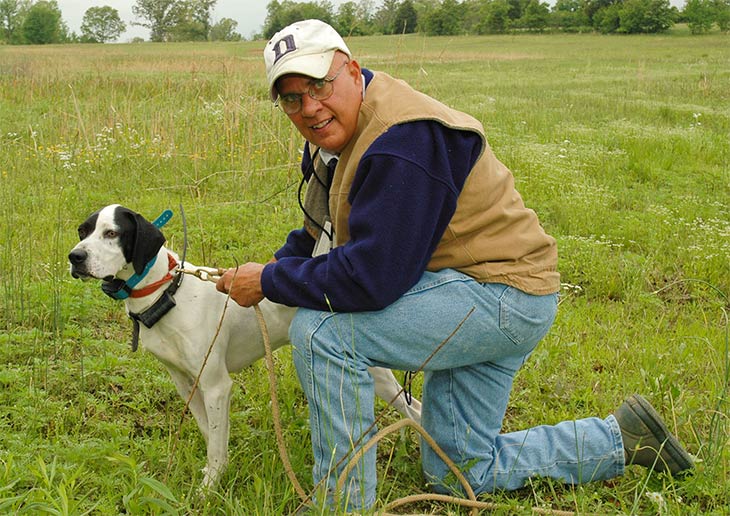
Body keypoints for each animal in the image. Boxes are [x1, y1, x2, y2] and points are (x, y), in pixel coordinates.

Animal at [69, 205, 420, 488]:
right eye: (82, 231)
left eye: (112, 233)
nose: (75, 257)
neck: (170, 292)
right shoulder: (186, 384)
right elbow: (212, 435)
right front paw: (216, 475)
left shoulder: (216, 385)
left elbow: (215, 446)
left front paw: (208, 490)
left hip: (373, 372)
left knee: (413, 408)